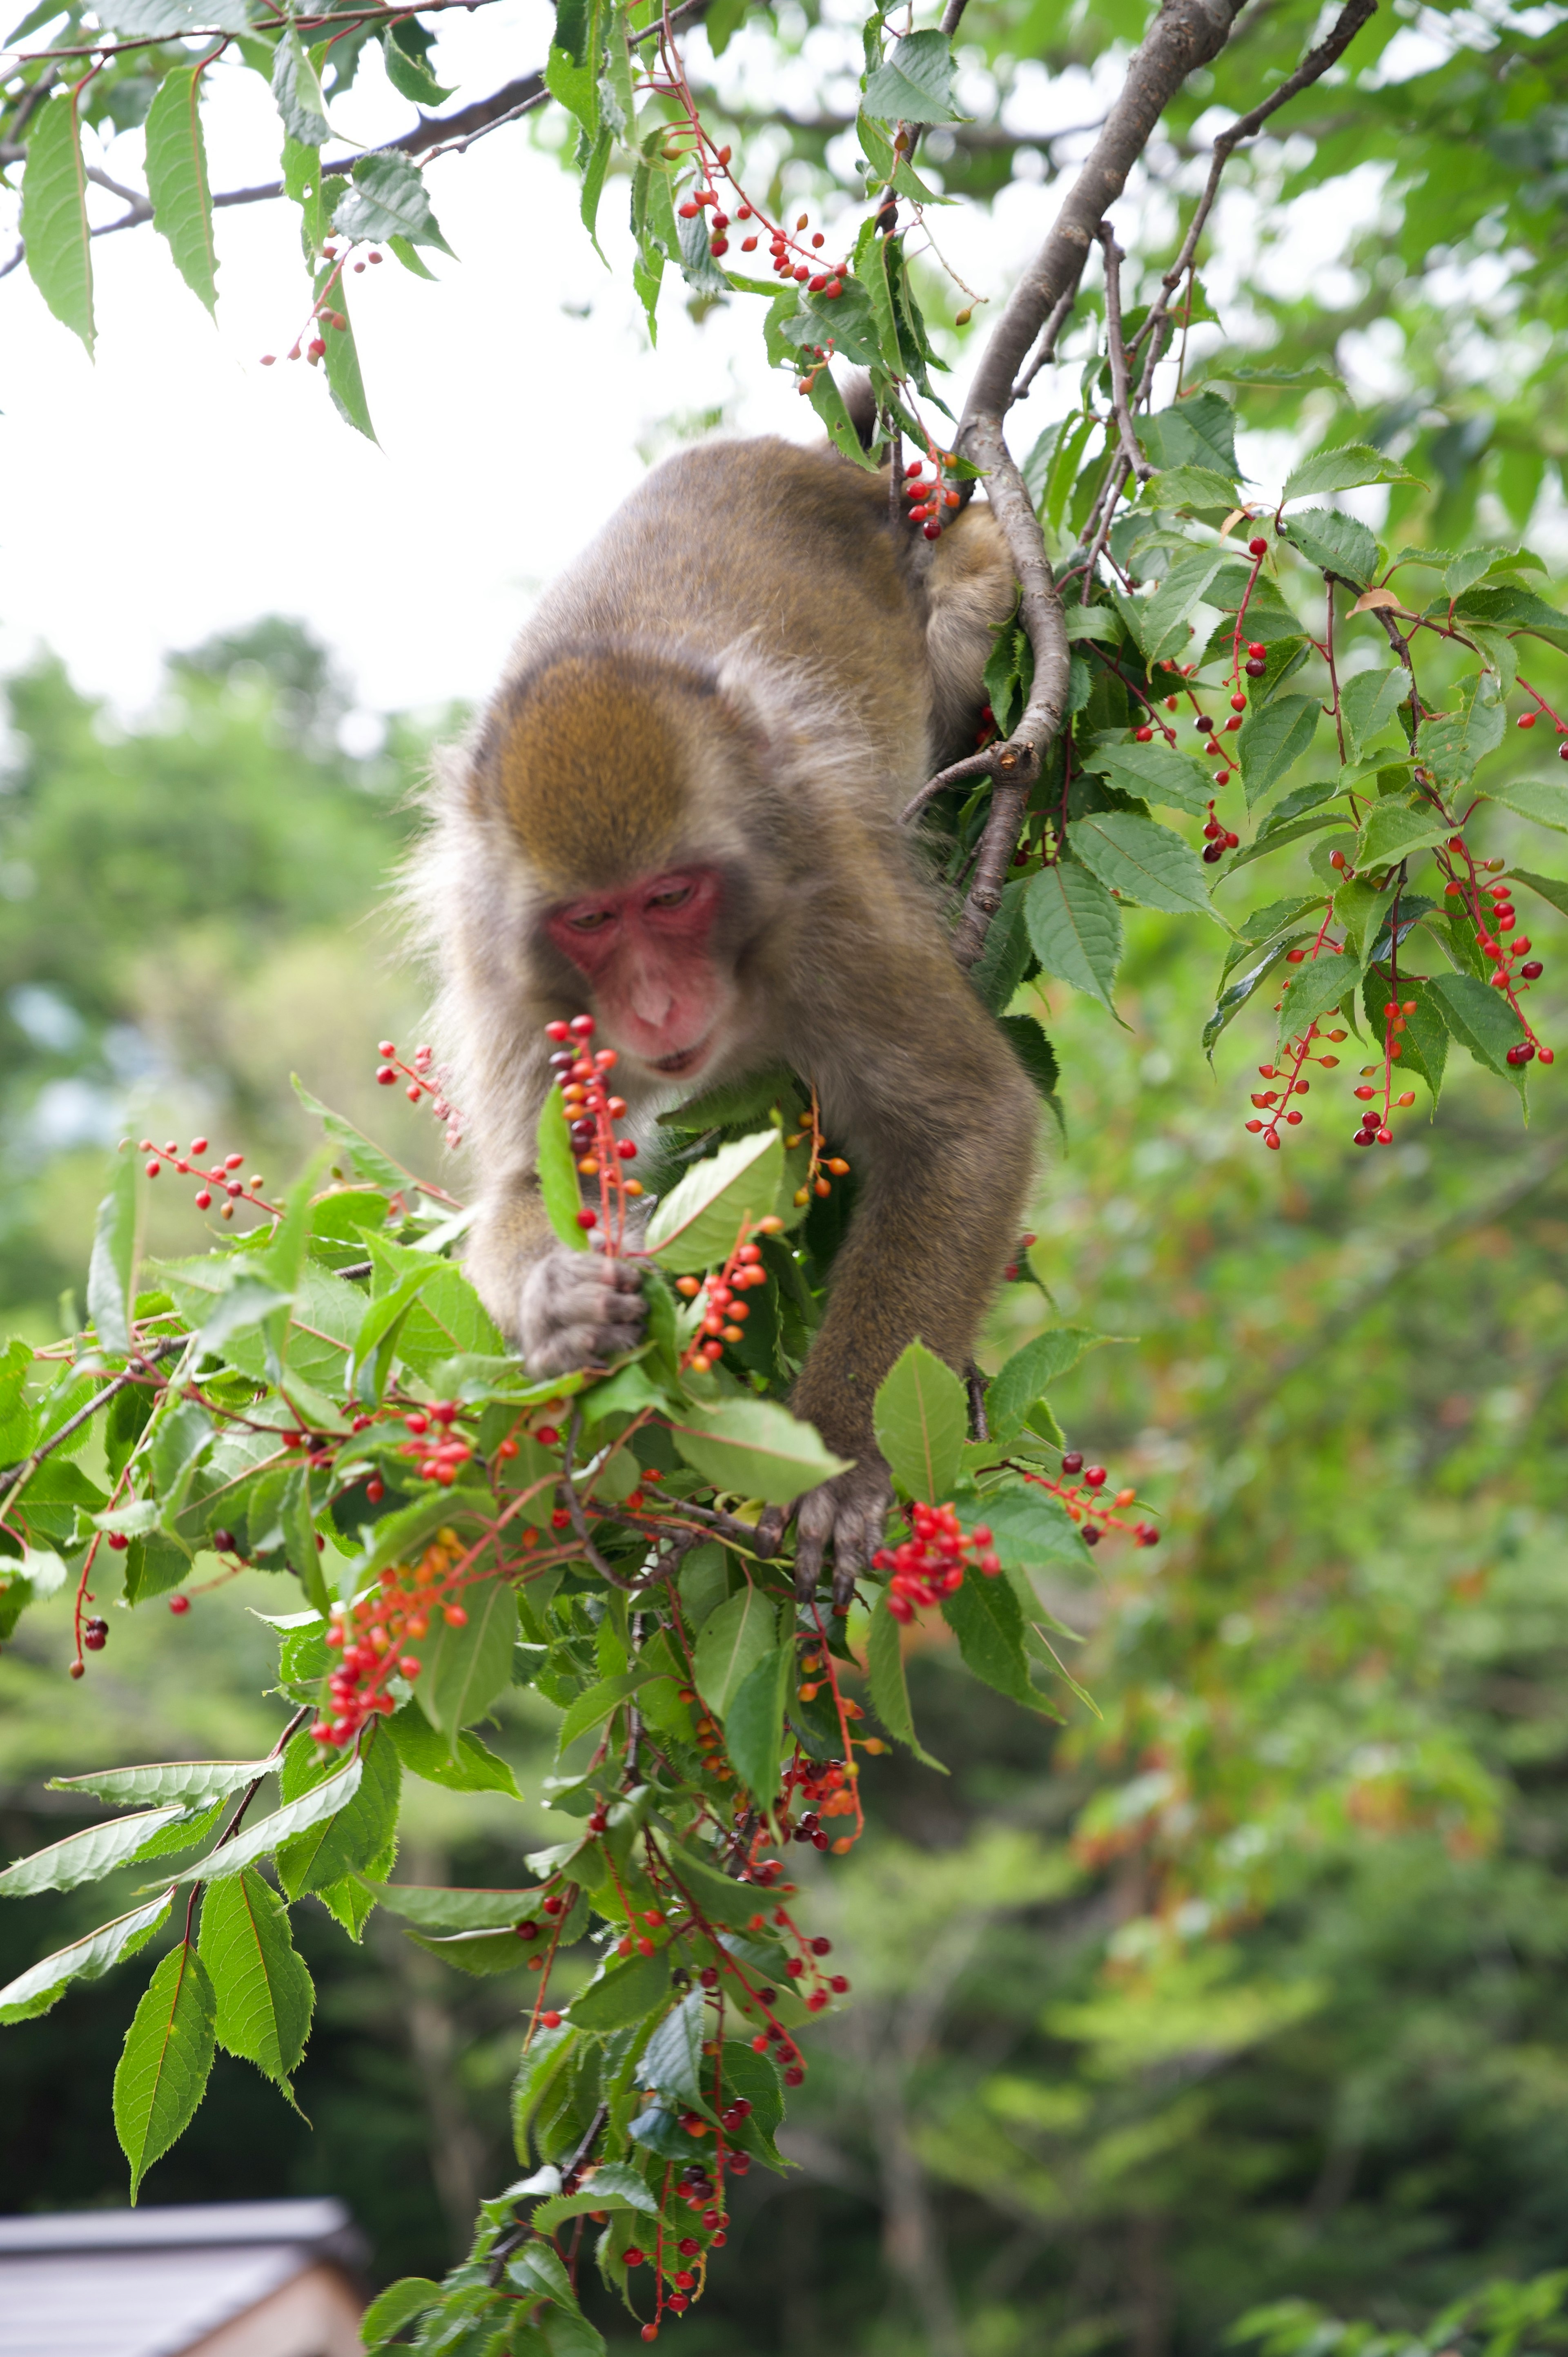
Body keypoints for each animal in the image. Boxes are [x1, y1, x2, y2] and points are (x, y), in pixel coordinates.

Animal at [419, 426, 1037, 1603]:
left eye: (672, 897)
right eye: (589, 919)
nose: (658, 1003)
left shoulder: (827, 890)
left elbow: (970, 1127)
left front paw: (841, 1461)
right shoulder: (507, 967)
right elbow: (533, 1179)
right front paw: (560, 1305)